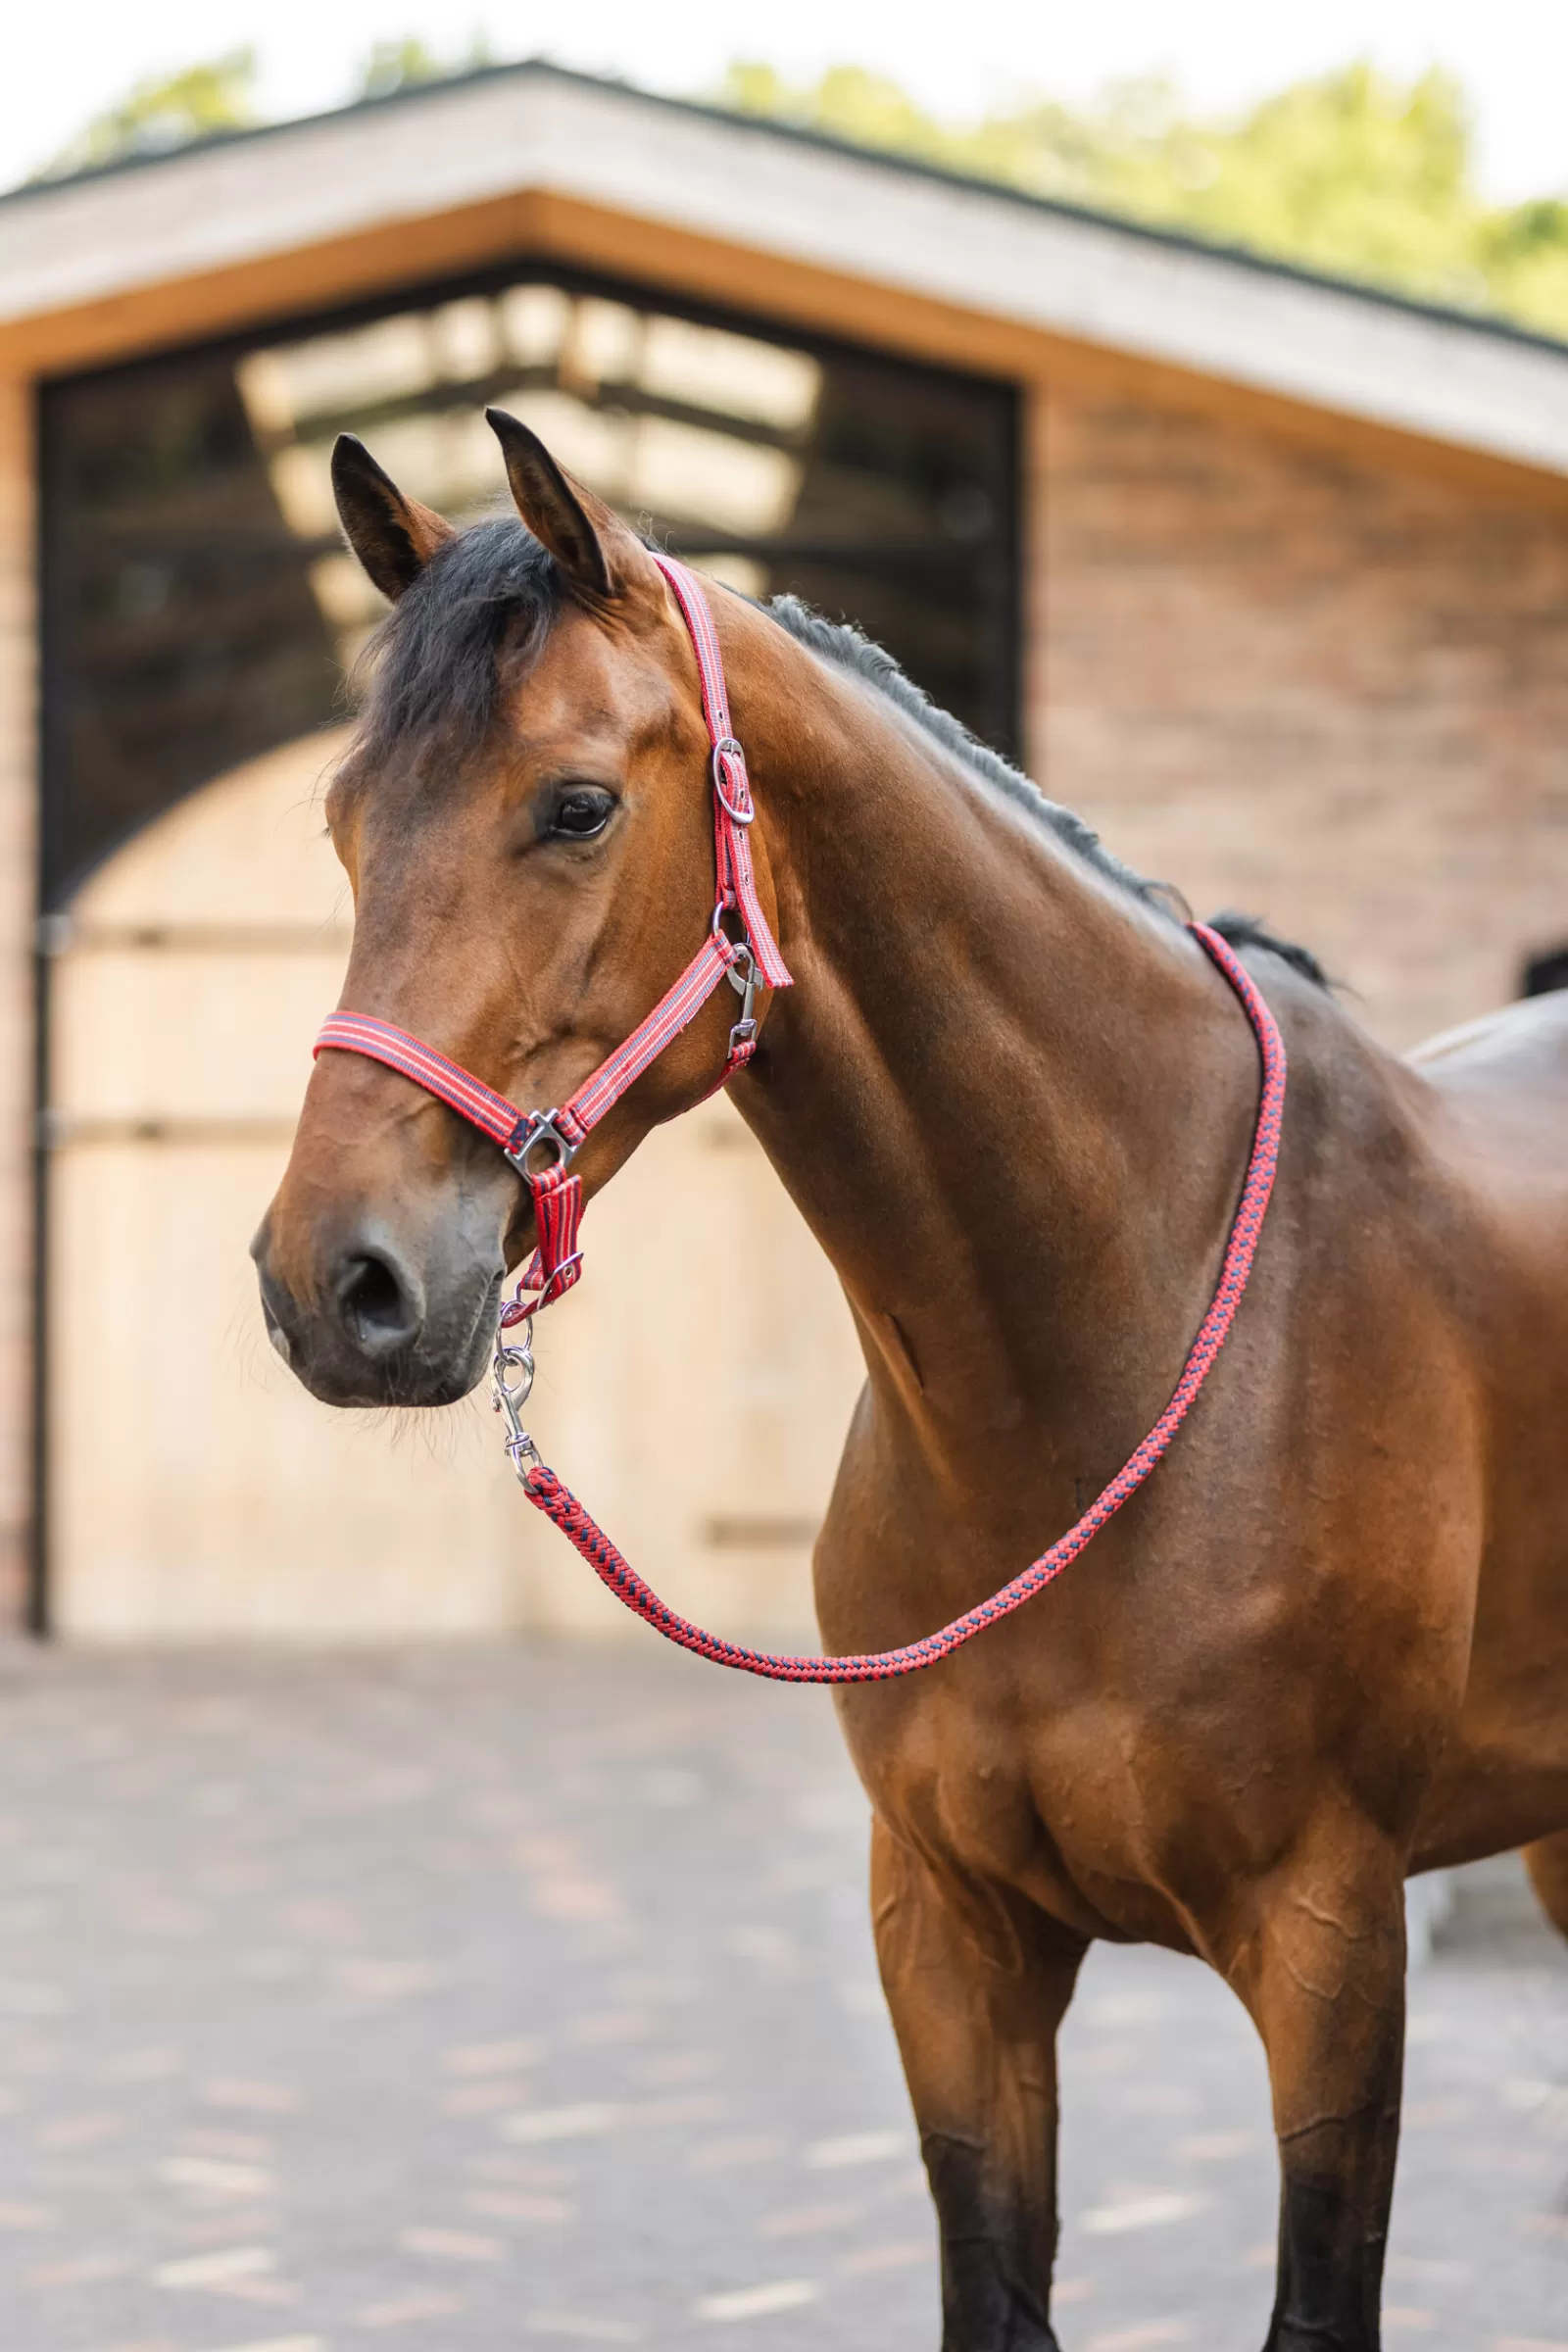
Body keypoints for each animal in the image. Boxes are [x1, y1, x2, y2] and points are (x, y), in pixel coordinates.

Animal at [255, 423, 1568, 2352]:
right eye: (349, 824)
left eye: (576, 807)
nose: (331, 1289)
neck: (1108, 1343)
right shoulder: (950, 1945)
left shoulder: (1333, 1948)